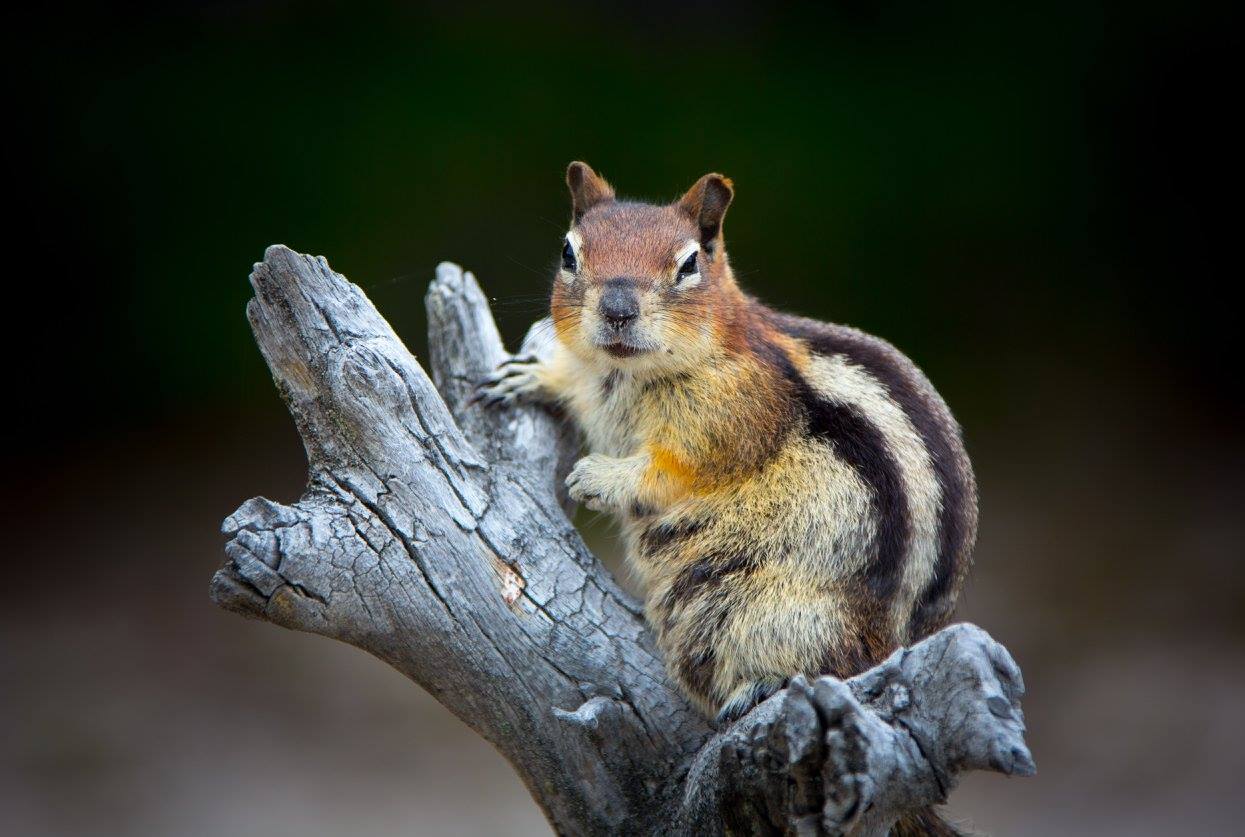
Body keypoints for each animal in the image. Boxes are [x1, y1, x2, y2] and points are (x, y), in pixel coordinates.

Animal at [475, 163, 971, 732]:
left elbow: (673, 472)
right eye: (568, 254)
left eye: (689, 263)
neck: (625, 373)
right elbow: (573, 387)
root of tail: (898, 643)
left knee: (835, 661)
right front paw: (531, 376)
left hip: (777, 612)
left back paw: (764, 684)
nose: (618, 309)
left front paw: (597, 476)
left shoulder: (734, 419)